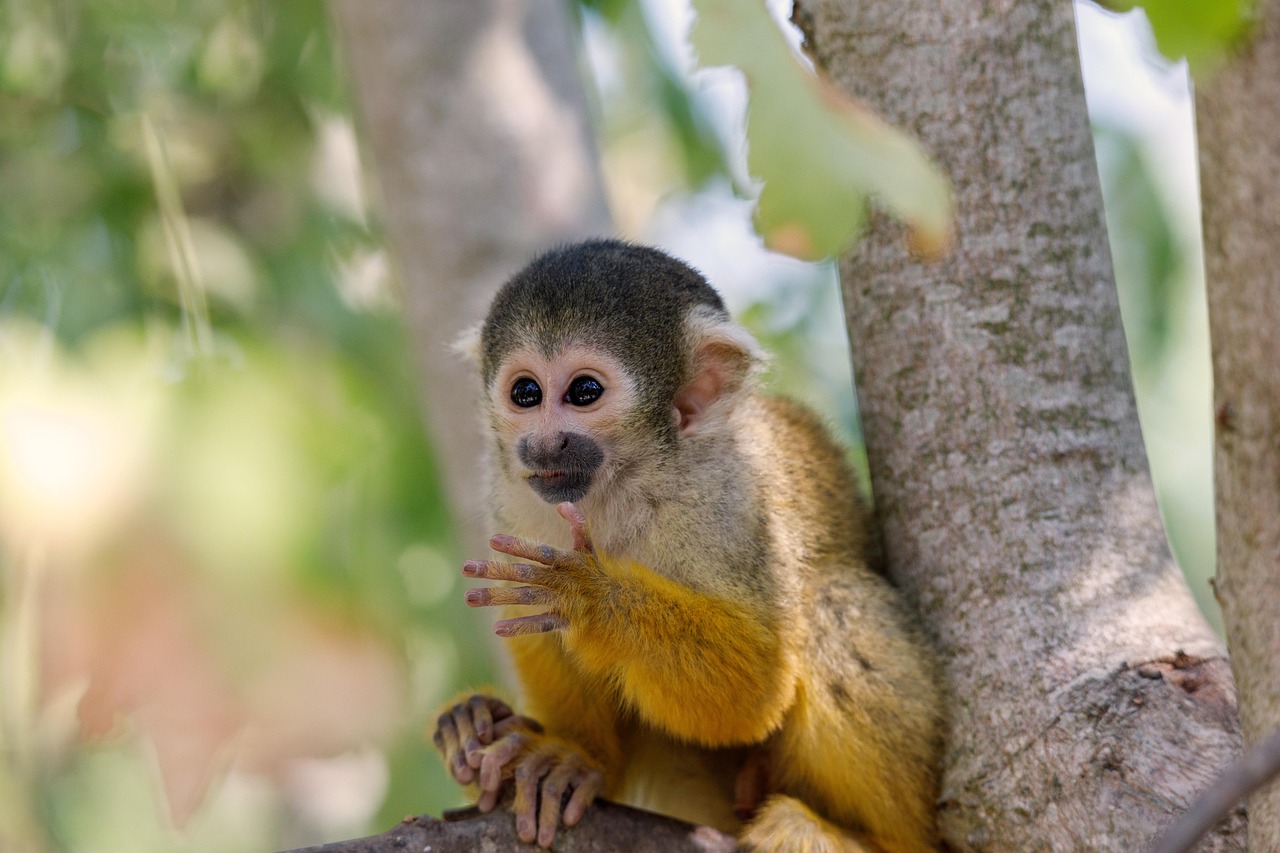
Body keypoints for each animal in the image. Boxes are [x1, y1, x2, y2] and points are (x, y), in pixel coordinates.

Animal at [433, 239, 944, 852]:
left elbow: (754, 691)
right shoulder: (512, 499)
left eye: (584, 393)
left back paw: (868, 838)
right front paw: (573, 756)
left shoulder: (735, 500)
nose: (544, 443)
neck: (624, 484)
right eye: (525, 394)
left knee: (834, 599)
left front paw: (590, 598)